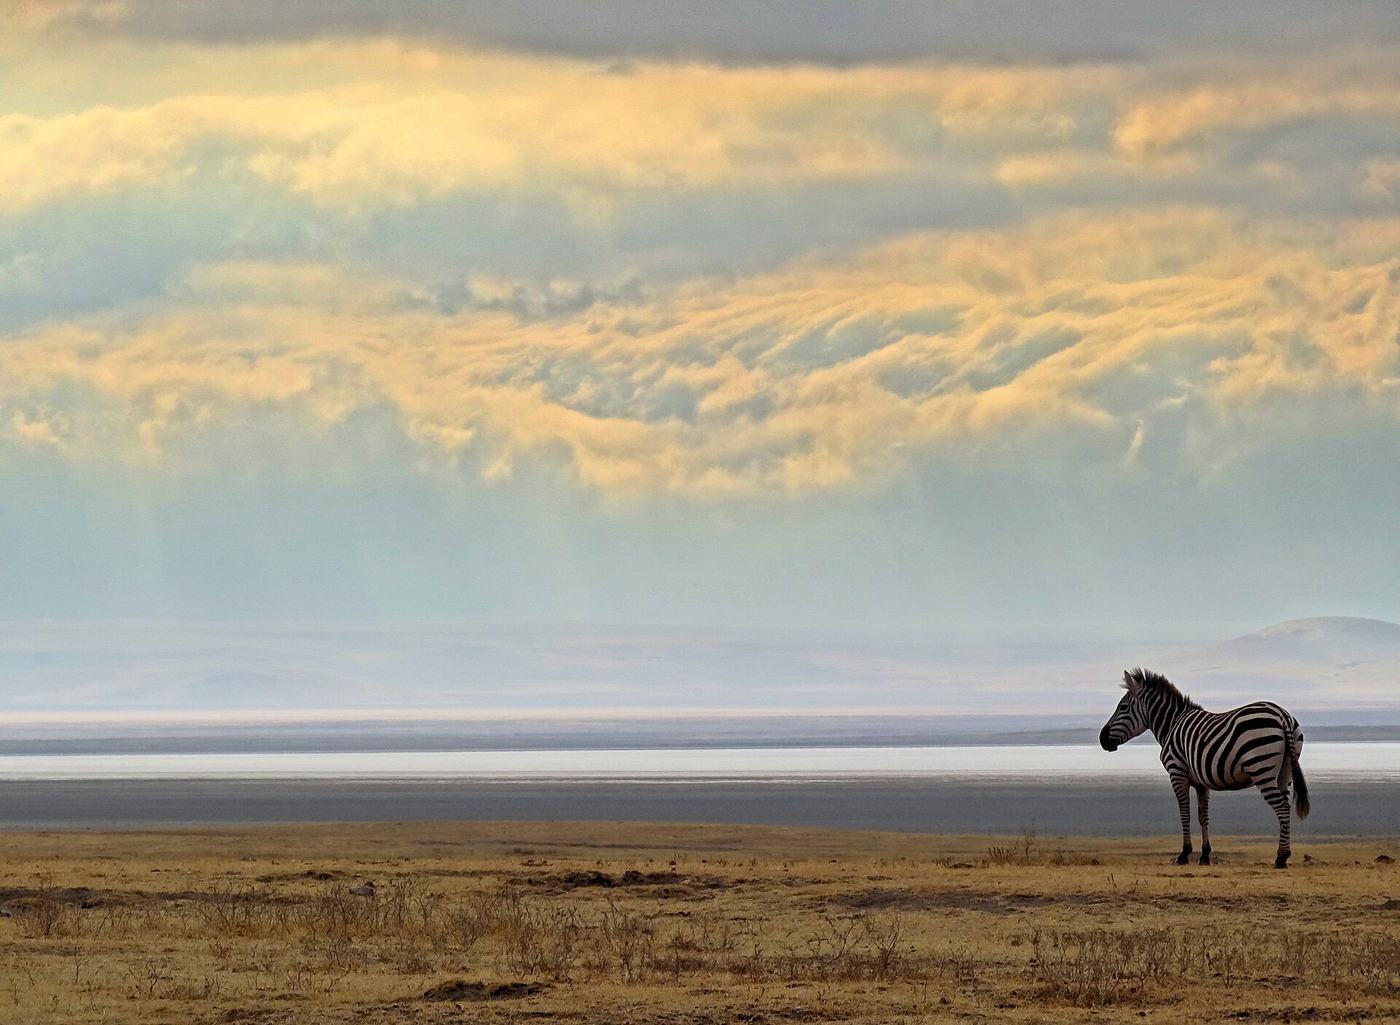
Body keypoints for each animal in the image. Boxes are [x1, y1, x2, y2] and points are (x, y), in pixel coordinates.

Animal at [1099, 668, 1310, 868]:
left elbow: (1185, 814)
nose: (1102, 739)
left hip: (1262, 769)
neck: (1171, 724)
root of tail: (1283, 716)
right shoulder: (1202, 782)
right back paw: (1283, 855)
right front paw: (1205, 855)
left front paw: (1184, 854)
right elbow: (1203, 816)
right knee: (1285, 805)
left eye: (1123, 707)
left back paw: (1281, 858)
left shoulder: (1177, 773)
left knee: (1282, 807)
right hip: (1285, 772)